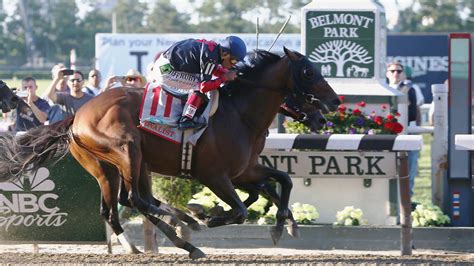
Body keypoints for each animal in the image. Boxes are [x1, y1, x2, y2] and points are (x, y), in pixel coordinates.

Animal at [0, 48, 340, 256]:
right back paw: (184, 232)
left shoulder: (244, 170)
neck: (239, 113)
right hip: (127, 151)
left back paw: (159, 236)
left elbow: (282, 180)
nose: (333, 104)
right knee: (134, 200)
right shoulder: (214, 175)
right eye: (308, 72)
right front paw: (205, 214)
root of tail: (78, 115)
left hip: (111, 167)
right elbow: (242, 210)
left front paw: (284, 224)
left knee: (120, 205)